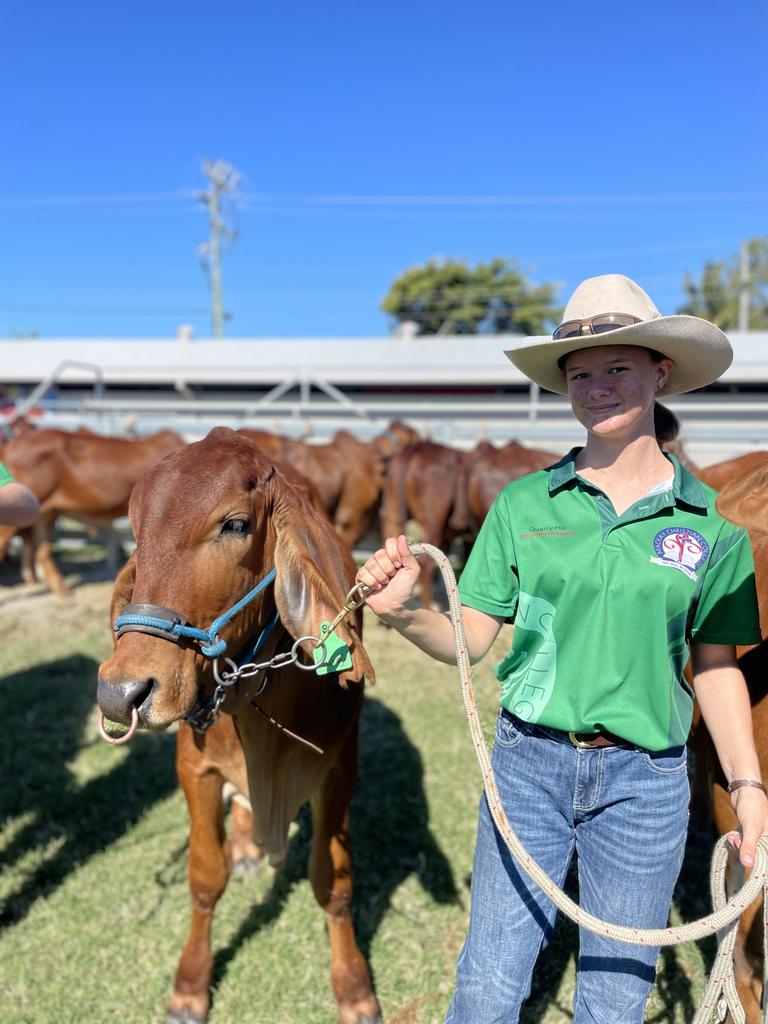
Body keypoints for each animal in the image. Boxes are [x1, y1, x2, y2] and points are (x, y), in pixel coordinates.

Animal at [96, 428, 382, 1024]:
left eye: (234, 524)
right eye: (135, 529)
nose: (120, 692)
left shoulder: (338, 769)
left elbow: (333, 881)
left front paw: (353, 985)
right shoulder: (195, 766)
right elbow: (206, 877)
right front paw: (190, 984)